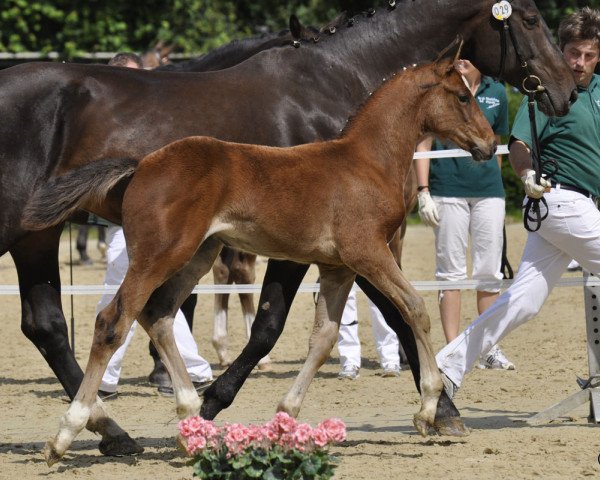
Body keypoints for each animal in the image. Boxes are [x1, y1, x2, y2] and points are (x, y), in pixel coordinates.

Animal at [23, 47, 494, 464]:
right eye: (463, 96)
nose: (490, 144)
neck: (365, 161)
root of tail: (141, 166)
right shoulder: (368, 253)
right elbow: (414, 308)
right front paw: (428, 410)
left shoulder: (337, 267)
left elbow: (324, 337)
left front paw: (287, 414)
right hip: (158, 255)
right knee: (113, 321)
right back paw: (66, 436)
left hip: (197, 255)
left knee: (158, 315)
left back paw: (191, 421)